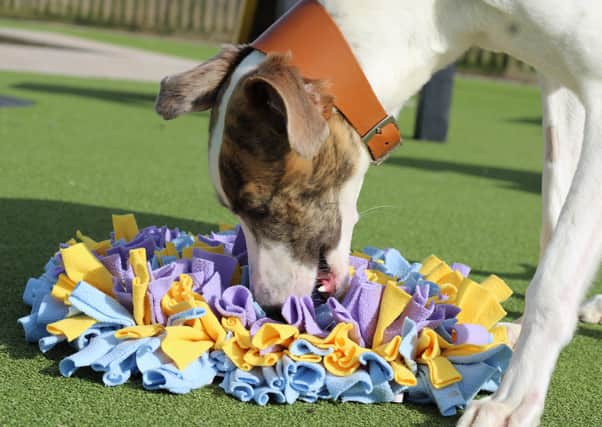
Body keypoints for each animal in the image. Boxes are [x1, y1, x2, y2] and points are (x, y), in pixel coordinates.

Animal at [156, 1, 600, 426]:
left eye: (256, 206)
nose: (270, 308)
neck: (448, 14)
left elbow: (554, 276)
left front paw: (511, 402)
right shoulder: (558, 85)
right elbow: (554, 216)